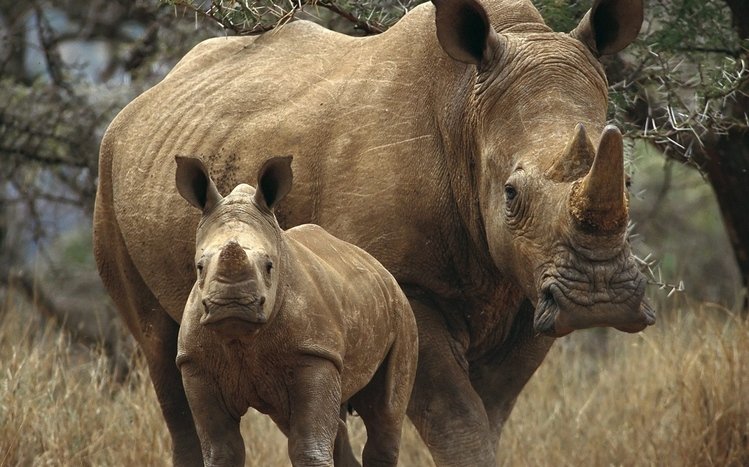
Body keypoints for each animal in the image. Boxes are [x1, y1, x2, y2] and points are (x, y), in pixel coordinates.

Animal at [173, 155, 417, 466]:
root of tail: (378, 265)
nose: (232, 305)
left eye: (269, 266)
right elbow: (221, 450)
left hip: (402, 311)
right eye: (199, 267)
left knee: (384, 416)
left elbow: (308, 447)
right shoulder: (196, 362)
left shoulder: (315, 352)